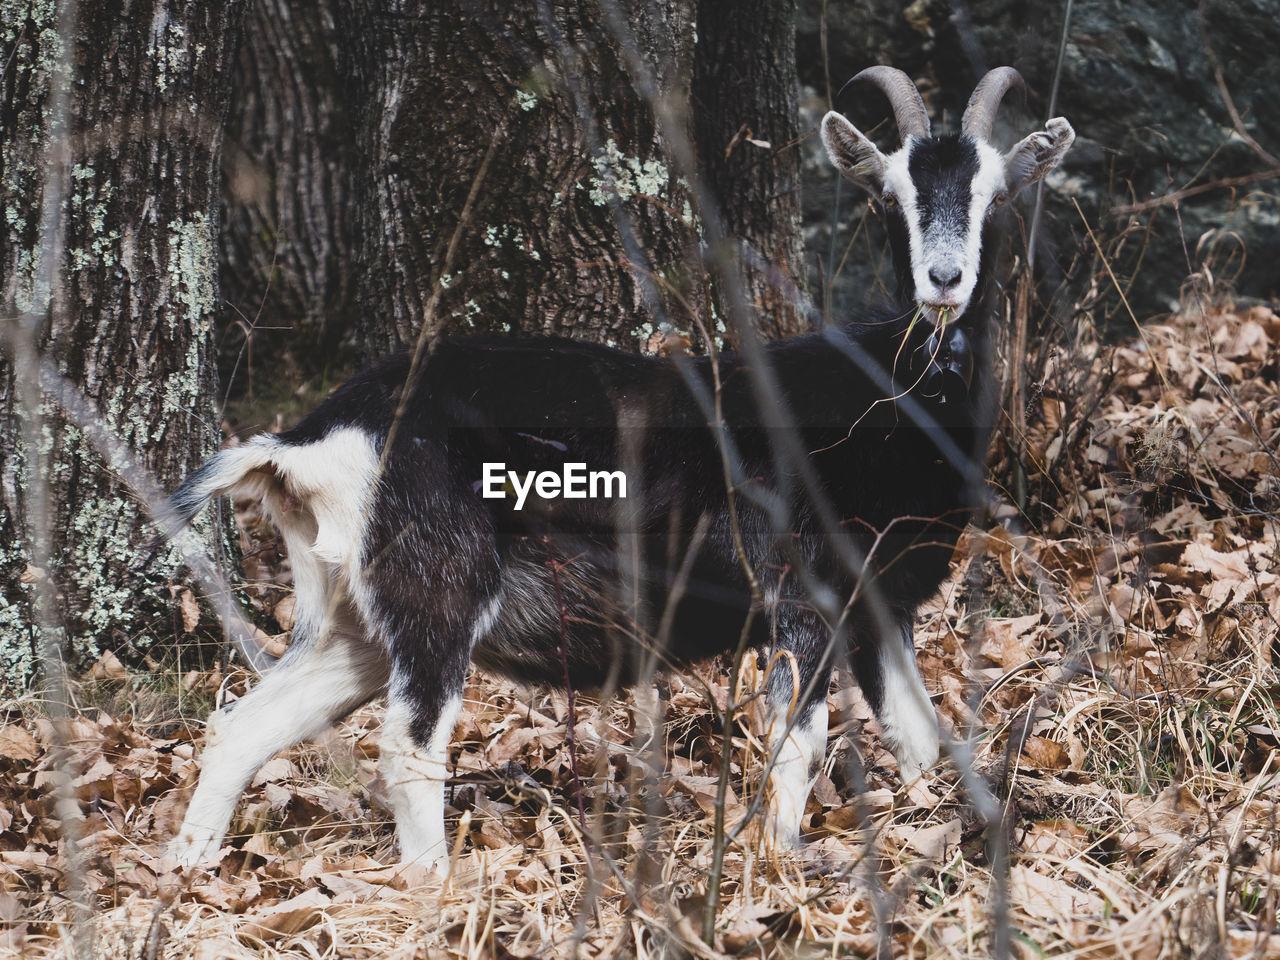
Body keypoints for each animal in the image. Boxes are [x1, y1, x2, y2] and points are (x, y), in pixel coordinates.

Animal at [167, 67, 1070, 875]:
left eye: (997, 196)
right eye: (890, 197)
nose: (944, 282)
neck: (886, 390)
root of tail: (307, 439)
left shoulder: (881, 603)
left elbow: (921, 743)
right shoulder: (802, 593)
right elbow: (798, 739)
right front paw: (777, 868)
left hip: (354, 619)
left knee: (243, 724)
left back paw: (188, 869)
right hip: (437, 591)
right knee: (406, 748)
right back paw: (439, 891)